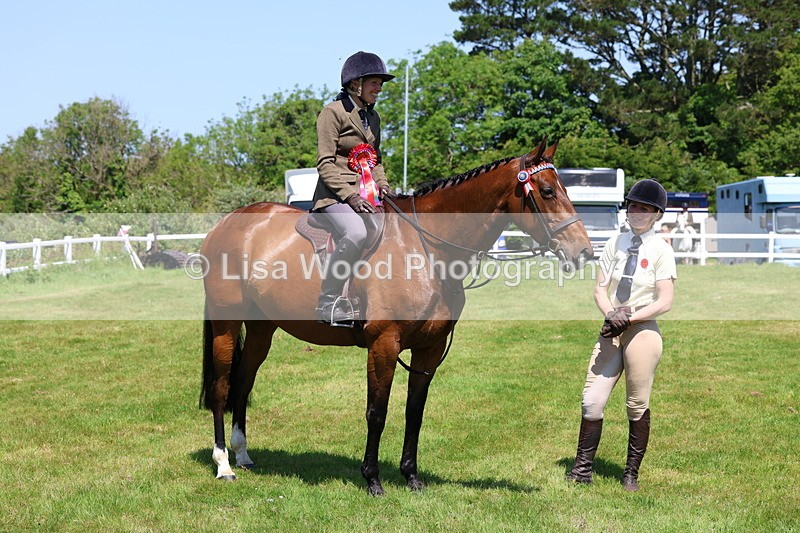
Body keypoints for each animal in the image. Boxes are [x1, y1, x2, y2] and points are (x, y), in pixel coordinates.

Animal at [198, 139, 593, 496]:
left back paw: (243, 455)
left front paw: (411, 476)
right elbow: (377, 412)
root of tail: (225, 225)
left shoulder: (428, 350)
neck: (425, 249)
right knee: (222, 387)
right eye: (547, 191)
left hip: (262, 328)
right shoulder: (383, 345)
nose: (584, 252)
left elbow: (414, 412)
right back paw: (224, 464)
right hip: (226, 324)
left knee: (244, 382)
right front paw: (372, 479)